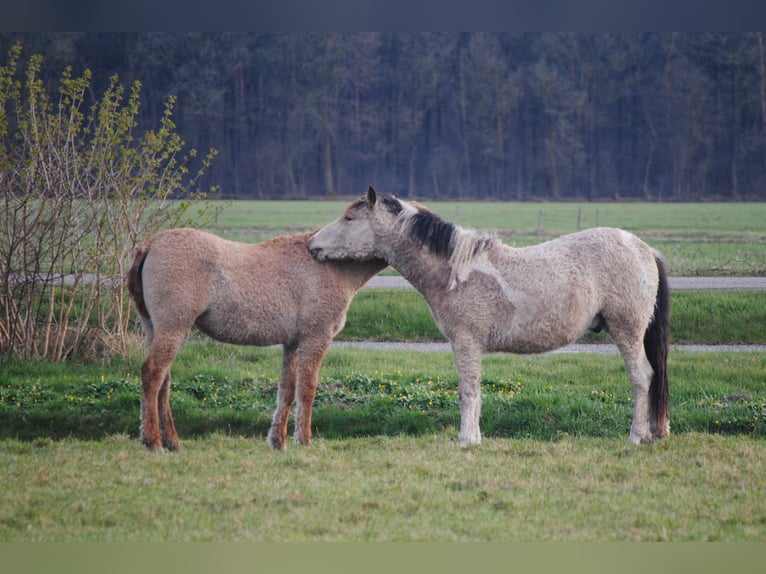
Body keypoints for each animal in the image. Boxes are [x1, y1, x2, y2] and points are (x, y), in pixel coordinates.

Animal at [127, 228, 386, 451]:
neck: (332, 266)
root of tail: (151, 244)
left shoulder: (292, 344)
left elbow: (287, 391)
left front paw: (279, 442)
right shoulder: (316, 338)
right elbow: (307, 388)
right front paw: (303, 440)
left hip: (155, 328)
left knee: (164, 381)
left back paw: (172, 442)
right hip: (173, 328)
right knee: (153, 373)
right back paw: (153, 441)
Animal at [308, 186, 670, 447]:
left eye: (349, 218)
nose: (313, 244)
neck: (455, 271)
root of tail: (645, 249)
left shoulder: (465, 342)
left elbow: (467, 391)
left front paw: (466, 440)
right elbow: (476, 390)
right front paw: (475, 437)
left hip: (627, 330)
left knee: (642, 377)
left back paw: (637, 436)